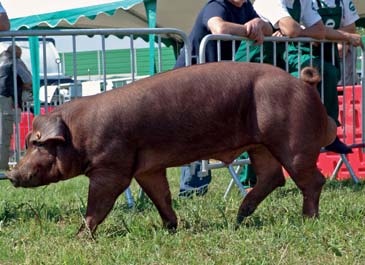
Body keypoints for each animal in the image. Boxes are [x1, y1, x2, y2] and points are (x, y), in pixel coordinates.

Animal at [6, 62, 336, 235]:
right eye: (29, 142)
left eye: (37, 143)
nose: (12, 175)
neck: (78, 134)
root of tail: (304, 84)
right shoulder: (148, 168)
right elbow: (160, 196)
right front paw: (170, 227)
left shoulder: (112, 167)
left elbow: (98, 204)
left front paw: (80, 236)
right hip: (261, 145)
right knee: (273, 177)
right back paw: (239, 218)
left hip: (292, 140)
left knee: (311, 180)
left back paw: (308, 220)